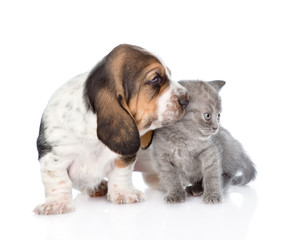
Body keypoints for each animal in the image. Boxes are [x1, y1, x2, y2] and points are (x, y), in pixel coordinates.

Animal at [33, 44, 188, 215]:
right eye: (155, 79)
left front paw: (124, 193)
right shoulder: (53, 157)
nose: (187, 100)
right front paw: (56, 203)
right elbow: (58, 181)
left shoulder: (124, 155)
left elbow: (121, 172)